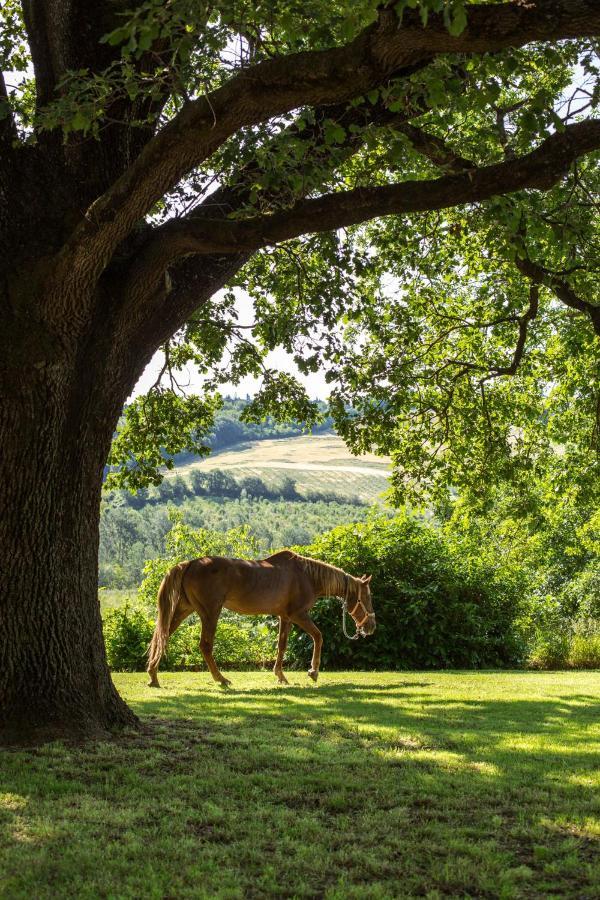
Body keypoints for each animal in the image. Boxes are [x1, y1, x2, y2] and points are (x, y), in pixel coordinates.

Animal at [146, 548, 376, 688]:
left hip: (184, 611)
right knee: (205, 645)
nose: (371, 626)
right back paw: (221, 679)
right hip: (210, 613)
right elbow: (318, 637)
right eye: (367, 596)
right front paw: (313, 671)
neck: (307, 576)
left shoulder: (286, 617)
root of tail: (191, 563)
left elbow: (282, 645)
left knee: (162, 637)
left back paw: (153, 676)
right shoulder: (299, 615)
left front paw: (280, 675)